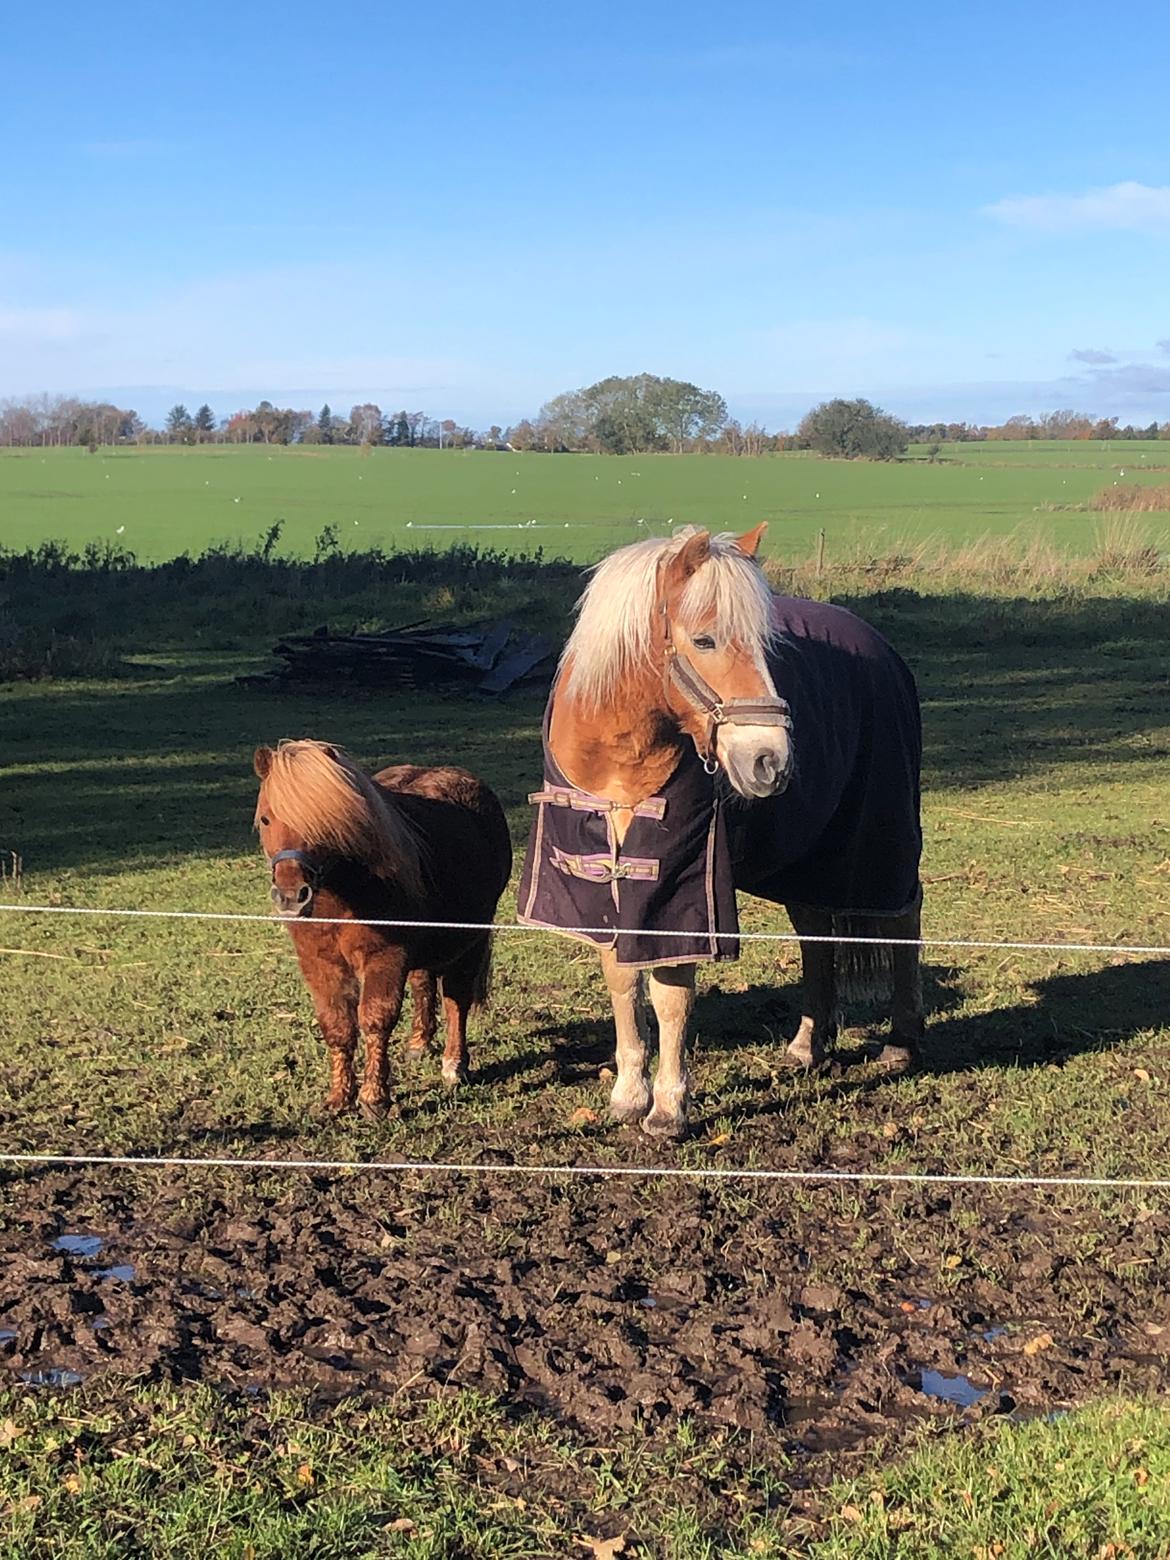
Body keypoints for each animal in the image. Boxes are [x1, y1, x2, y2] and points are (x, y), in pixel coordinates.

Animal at [254, 739, 511, 1116]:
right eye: (266, 818)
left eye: (325, 824)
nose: (291, 897)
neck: (344, 896)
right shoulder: (320, 964)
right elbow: (337, 1026)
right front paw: (338, 1098)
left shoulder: (384, 958)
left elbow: (375, 1020)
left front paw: (374, 1099)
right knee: (423, 982)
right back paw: (420, 1042)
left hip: (469, 940)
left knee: (456, 999)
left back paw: (454, 1064)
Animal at [521, 524, 923, 1135]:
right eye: (705, 640)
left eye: (766, 644)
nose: (769, 761)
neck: (617, 759)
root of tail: (881, 648)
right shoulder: (601, 882)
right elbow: (621, 981)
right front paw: (627, 1093)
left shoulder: (680, 886)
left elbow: (671, 994)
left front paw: (668, 1107)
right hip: (807, 854)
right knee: (815, 931)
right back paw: (808, 1044)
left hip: (882, 835)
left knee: (904, 917)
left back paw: (901, 1041)